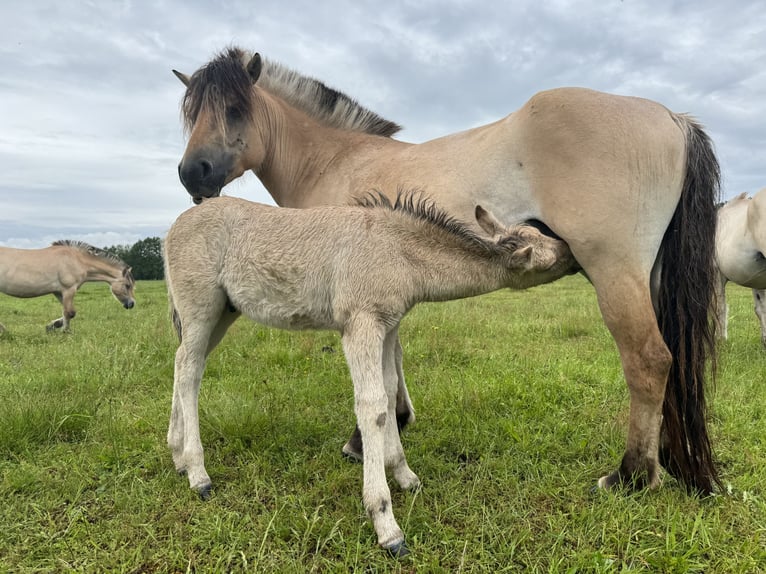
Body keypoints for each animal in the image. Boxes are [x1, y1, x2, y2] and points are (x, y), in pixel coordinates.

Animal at [0, 241, 135, 332]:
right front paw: (64, 331)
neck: (78, 260)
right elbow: (69, 312)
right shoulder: (69, 289)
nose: (132, 304)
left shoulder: (59, 292)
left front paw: (52, 326)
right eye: (127, 285)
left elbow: (68, 312)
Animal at [174, 46, 728, 496]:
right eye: (191, 113)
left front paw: (364, 442)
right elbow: (393, 362)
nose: (192, 174)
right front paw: (395, 427)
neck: (336, 160)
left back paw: (631, 474)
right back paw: (670, 465)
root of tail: (672, 118)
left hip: (614, 273)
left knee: (649, 360)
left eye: (234, 108)